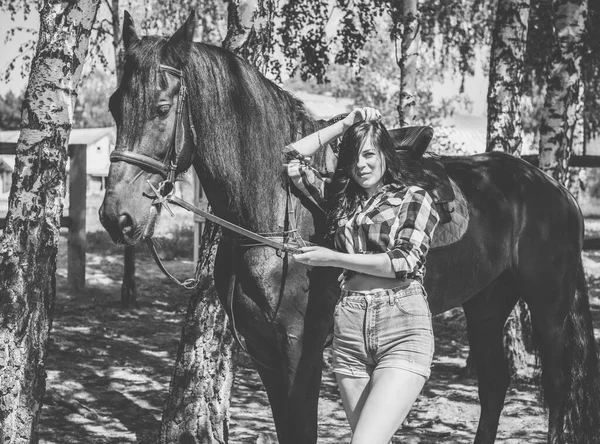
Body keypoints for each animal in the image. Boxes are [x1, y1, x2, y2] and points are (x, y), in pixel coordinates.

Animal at [101, 10, 596, 444]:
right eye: (113, 106)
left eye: (162, 107)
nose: (116, 215)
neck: (274, 214)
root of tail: (555, 188)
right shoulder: (266, 352)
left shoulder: (299, 353)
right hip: (487, 302)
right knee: (494, 383)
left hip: (547, 308)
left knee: (555, 389)